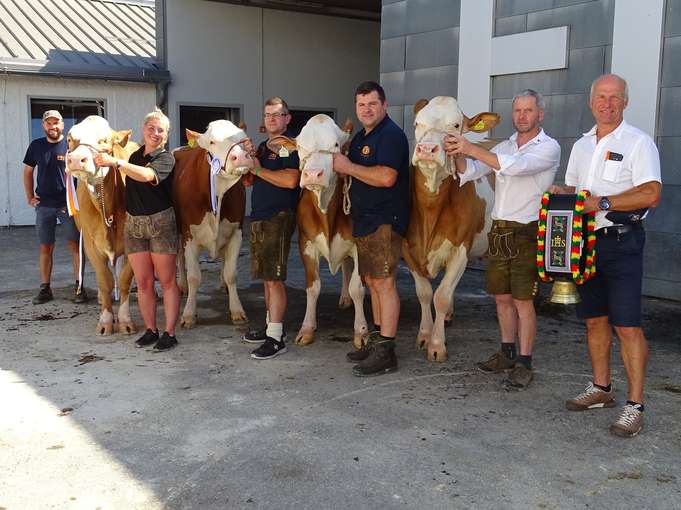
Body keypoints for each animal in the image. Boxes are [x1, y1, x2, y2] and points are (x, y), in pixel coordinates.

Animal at [64, 117, 139, 336]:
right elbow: (104, 280)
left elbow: (124, 279)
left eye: (104, 140)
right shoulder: (90, 243)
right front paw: (106, 321)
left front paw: (124, 320)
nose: (76, 159)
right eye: (70, 139)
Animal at [171, 119, 254, 326]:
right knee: (179, 257)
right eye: (212, 142)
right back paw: (182, 285)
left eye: (244, 139)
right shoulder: (189, 235)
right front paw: (188, 314)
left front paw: (237, 310)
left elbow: (232, 274)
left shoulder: (236, 232)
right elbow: (194, 277)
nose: (242, 157)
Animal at [270, 114, 366, 348]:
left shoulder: (360, 245)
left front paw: (361, 331)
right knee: (345, 266)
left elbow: (358, 288)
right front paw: (307, 329)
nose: (313, 174)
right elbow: (312, 287)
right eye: (300, 147)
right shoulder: (306, 244)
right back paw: (344, 298)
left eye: (336, 145)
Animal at [402, 94, 496, 358]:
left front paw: (436, 345)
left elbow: (441, 296)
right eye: (417, 123)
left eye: (455, 125)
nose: (426, 149)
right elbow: (424, 294)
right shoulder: (407, 248)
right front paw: (424, 335)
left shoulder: (461, 248)